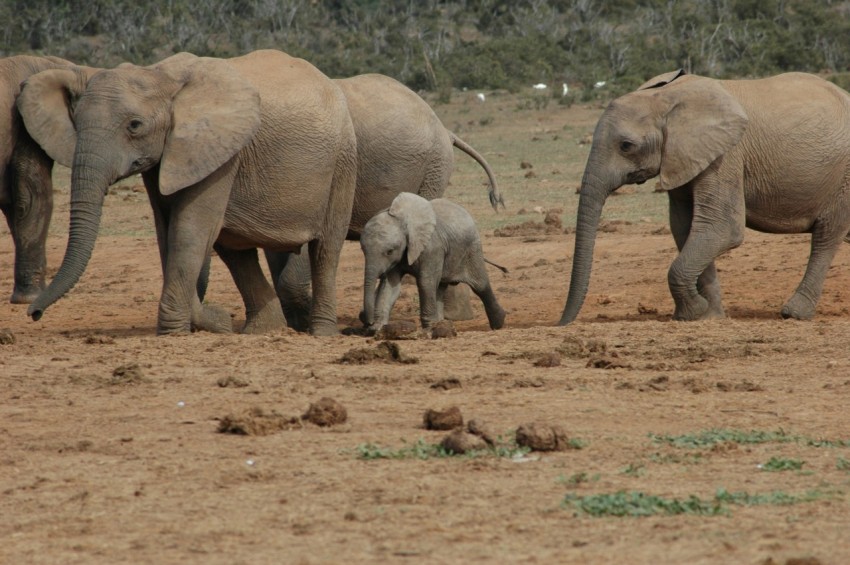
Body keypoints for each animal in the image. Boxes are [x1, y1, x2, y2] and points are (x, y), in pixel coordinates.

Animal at [18, 49, 357, 336]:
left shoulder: (218, 153)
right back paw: (264, 331)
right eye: (76, 121)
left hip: (342, 164)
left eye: (135, 126)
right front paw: (210, 322)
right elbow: (167, 231)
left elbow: (189, 231)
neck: (161, 76)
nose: (34, 314)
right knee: (235, 250)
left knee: (326, 249)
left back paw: (321, 333)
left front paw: (176, 331)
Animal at [360, 192, 507, 332]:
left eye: (389, 251)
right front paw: (377, 328)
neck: (403, 220)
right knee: (440, 287)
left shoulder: (432, 247)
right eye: (362, 250)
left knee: (480, 285)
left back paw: (499, 323)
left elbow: (426, 282)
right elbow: (389, 285)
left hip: (472, 249)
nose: (368, 322)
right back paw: (441, 324)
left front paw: (429, 329)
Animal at [559, 69, 850, 324]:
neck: (665, 98)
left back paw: (794, 314)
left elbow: (722, 228)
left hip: (843, 177)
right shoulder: (682, 157)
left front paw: (693, 312)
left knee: (826, 237)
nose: (562, 323)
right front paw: (707, 316)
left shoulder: (726, 156)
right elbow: (685, 229)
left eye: (626, 146)